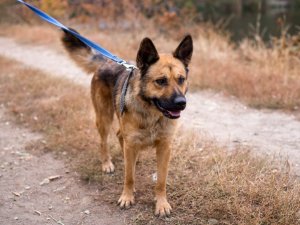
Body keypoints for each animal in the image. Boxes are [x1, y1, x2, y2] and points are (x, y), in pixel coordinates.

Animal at [61, 29, 192, 216]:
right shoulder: (131, 143)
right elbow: (129, 177)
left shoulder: (165, 147)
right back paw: (107, 163)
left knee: (120, 138)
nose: (182, 103)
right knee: (104, 142)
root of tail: (107, 61)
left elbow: (161, 180)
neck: (152, 113)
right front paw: (127, 197)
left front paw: (161, 203)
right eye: (161, 81)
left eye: (181, 79)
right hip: (104, 118)